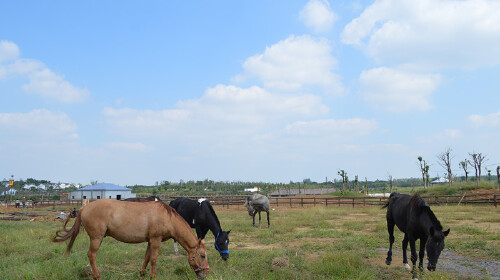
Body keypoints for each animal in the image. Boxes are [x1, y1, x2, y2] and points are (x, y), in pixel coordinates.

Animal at [50, 199, 207, 280]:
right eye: (202, 256)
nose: (205, 275)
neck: (167, 218)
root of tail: (84, 209)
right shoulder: (155, 240)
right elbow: (154, 259)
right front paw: (152, 276)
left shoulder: (150, 241)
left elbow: (146, 258)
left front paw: (142, 275)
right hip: (96, 238)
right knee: (91, 255)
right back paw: (97, 276)